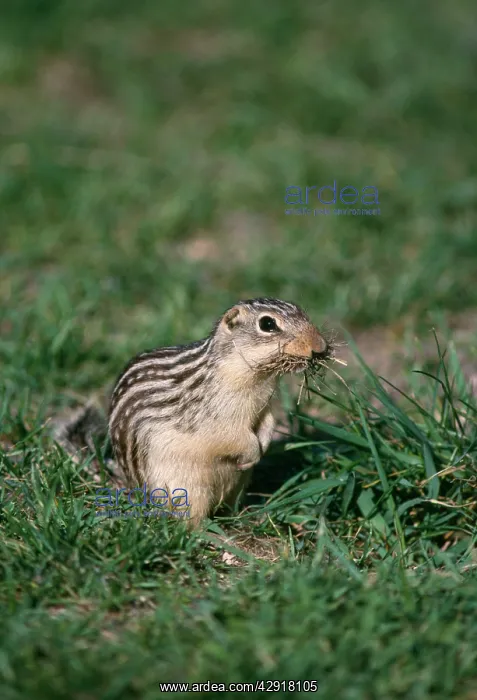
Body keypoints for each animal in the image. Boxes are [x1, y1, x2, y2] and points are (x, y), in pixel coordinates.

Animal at [55, 298, 332, 525]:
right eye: (267, 324)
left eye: (302, 311)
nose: (320, 346)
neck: (256, 379)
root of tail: (134, 488)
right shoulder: (214, 419)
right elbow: (233, 437)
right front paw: (253, 451)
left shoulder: (264, 407)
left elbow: (268, 423)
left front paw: (263, 444)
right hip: (186, 489)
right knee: (189, 523)